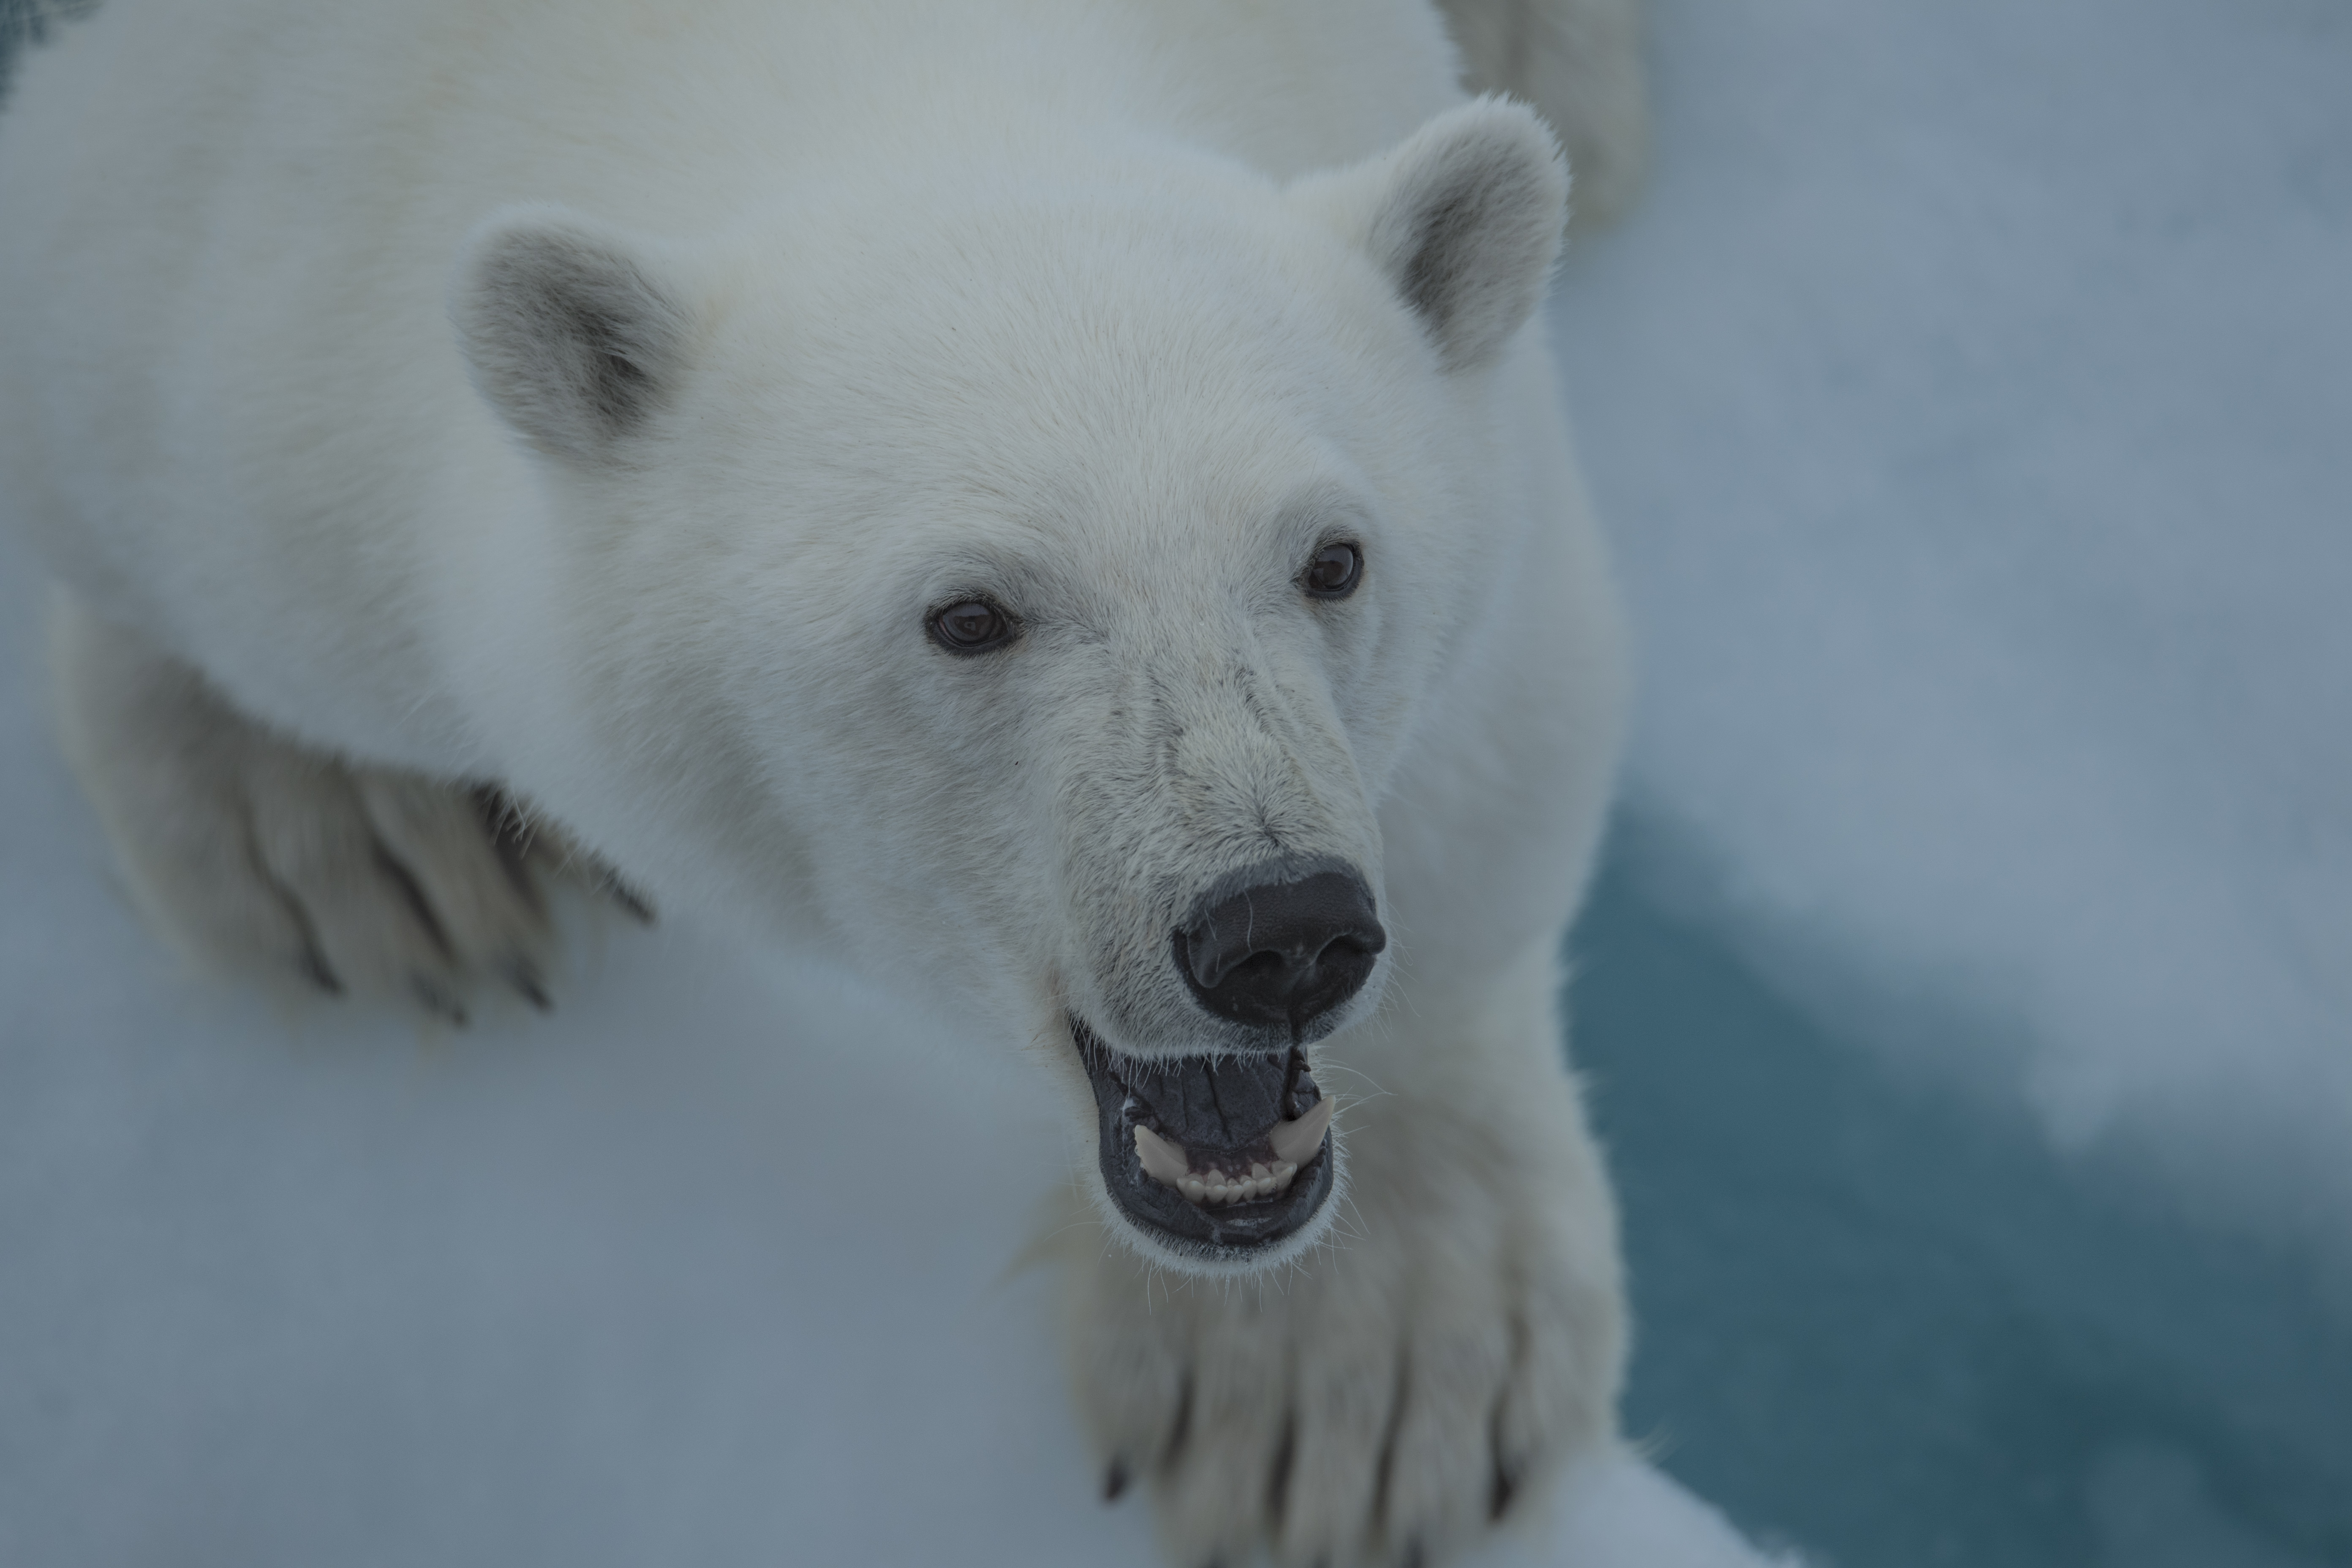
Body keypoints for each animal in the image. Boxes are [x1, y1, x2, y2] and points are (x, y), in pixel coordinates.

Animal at [0, 0, 1646, 1561]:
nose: (1279, 927)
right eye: (968, 613)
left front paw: (1354, 1369)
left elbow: (1499, 746)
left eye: (1331, 557)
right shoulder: (277, 283)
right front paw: (342, 825)